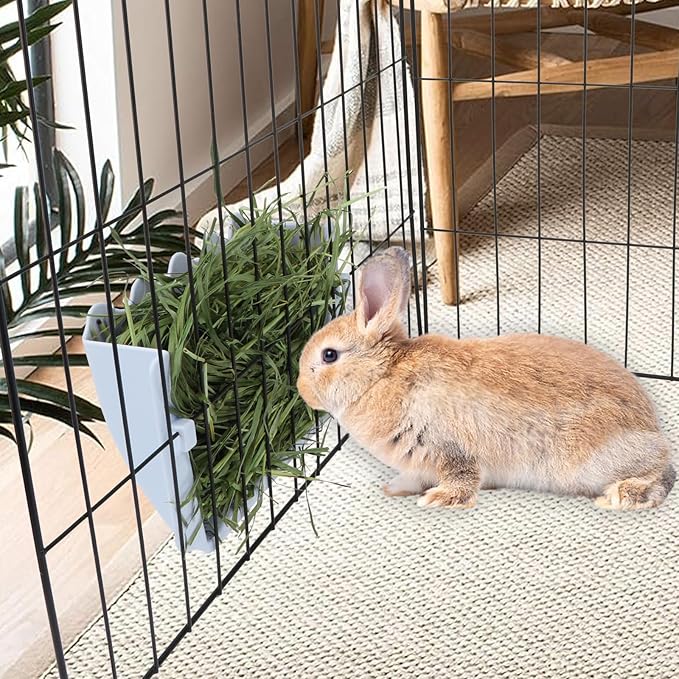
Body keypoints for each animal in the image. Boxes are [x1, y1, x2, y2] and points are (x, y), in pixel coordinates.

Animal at [297, 246, 676, 511]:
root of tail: (652, 427)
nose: (302, 391)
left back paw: (619, 497)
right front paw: (393, 489)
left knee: (662, 473)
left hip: (595, 459)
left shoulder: (446, 446)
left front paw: (438, 501)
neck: (380, 376)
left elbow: (462, 477)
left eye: (329, 355)